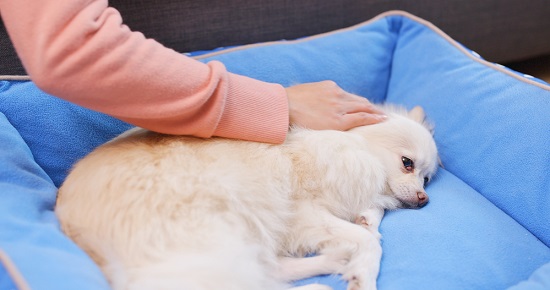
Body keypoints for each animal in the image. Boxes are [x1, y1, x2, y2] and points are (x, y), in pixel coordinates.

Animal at [56, 105, 442, 290]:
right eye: (407, 163)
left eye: (427, 178)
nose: (424, 199)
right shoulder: (301, 214)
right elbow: (369, 242)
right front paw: (364, 275)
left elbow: (370, 218)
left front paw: (365, 220)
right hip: (216, 227)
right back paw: (318, 286)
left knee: (269, 270)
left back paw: (331, 262)